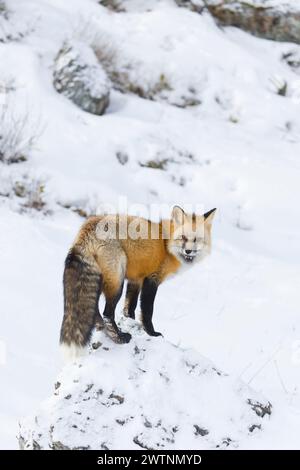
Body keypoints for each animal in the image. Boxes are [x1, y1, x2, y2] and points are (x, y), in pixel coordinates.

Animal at [60, 205, 216, 356]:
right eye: (183, 237)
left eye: (196, 239)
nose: (188, 251)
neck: (166, 244)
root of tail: (88, 226)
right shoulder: (151, 279)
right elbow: (147, 311)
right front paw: (152, 333)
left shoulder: (136, 280)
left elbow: (130, 307)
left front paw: (131, 322)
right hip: (117, 282)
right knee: (107, 314)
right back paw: (119, 337)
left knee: (96, 311)